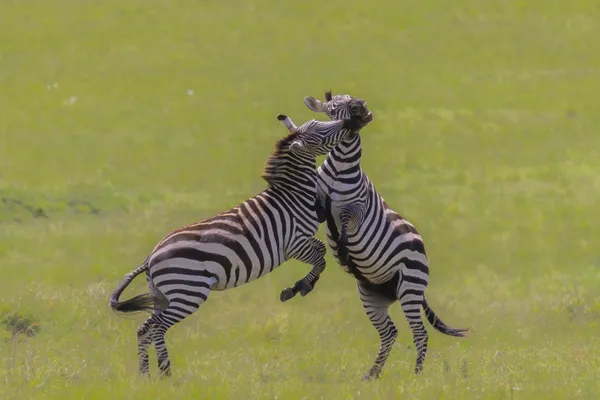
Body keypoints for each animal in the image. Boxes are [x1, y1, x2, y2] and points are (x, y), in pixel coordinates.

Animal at [108, 107, 370, 378]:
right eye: (321, 133)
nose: (351, 122)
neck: (293, 195)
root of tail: (151, 257)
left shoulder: (303, 242)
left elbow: (320, 251)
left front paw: (302, 285)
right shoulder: (294, 243)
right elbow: (320, 259)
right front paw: (299, 288)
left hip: (162, 295)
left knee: (144, 329)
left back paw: (146, 375)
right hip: (187, 293)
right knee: (157, 328)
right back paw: (166, 372)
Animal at [276, 90, 468, 382]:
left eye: (353, 101)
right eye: (333, 110)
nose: (361, 109)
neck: (339, 170)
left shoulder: (357, 207)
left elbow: (346, 224)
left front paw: (344, 248)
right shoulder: (319, 203)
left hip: (410, 287)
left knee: (419, 333)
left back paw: (417, 375)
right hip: (371, 295)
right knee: (390, 333)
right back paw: (372, 374)